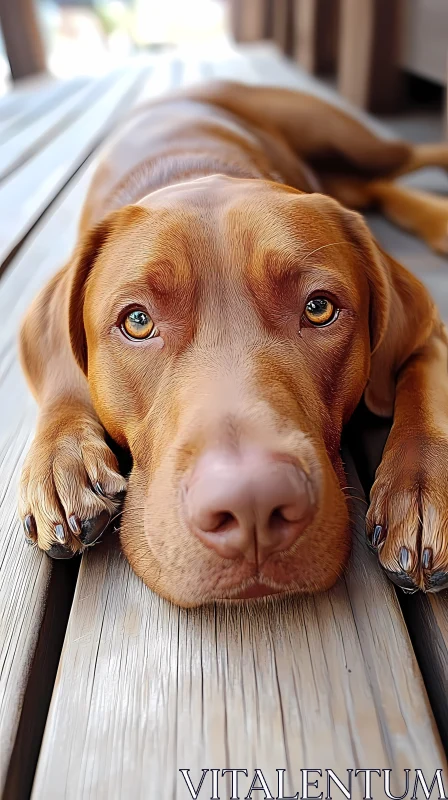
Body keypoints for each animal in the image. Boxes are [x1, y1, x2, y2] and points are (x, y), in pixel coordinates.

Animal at [18, 83, 448, 608]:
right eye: (138, 322)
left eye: (318, 308)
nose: (253, 505)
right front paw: (61, 456)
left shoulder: (427, 328)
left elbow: (422, 384)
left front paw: (419, 488)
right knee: (371, 187)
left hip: (349, 141)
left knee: (401, 163)